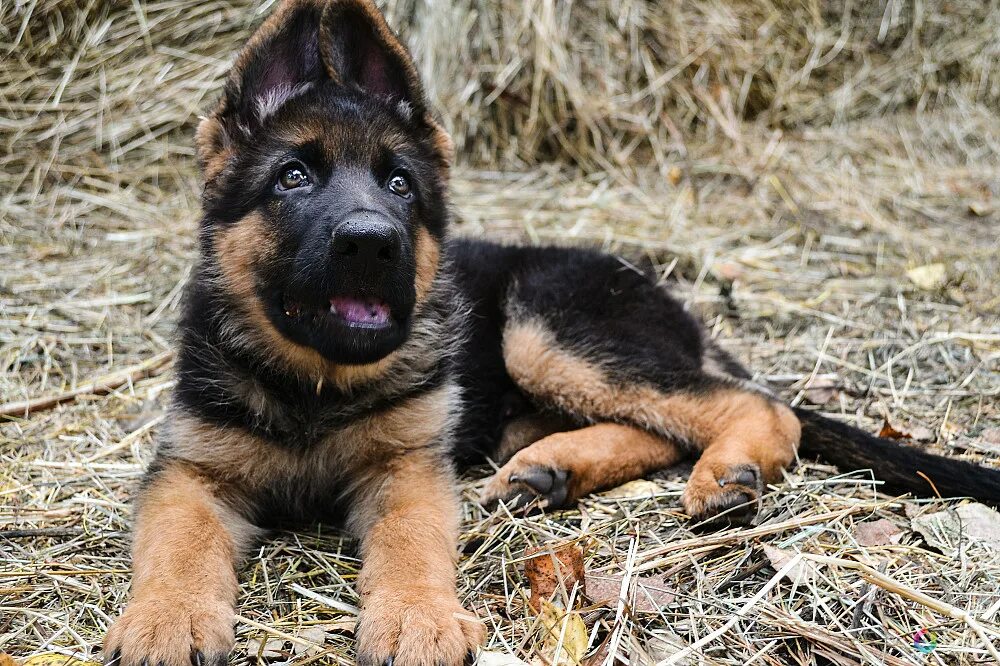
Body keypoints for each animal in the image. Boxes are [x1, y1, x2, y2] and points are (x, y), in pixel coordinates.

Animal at [101, 1, 1000, 664]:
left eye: (399, 184)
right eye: (292, 177)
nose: (372, 242)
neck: (315, 384)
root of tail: (666, 300)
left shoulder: (409, 470)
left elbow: (410, 544)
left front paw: (418, 616)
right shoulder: (187, 473)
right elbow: (179, 545)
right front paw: (168, 619)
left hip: (542, 328)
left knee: (750, 406)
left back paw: (724, 469)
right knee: (660, 427)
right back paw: (549, 470)